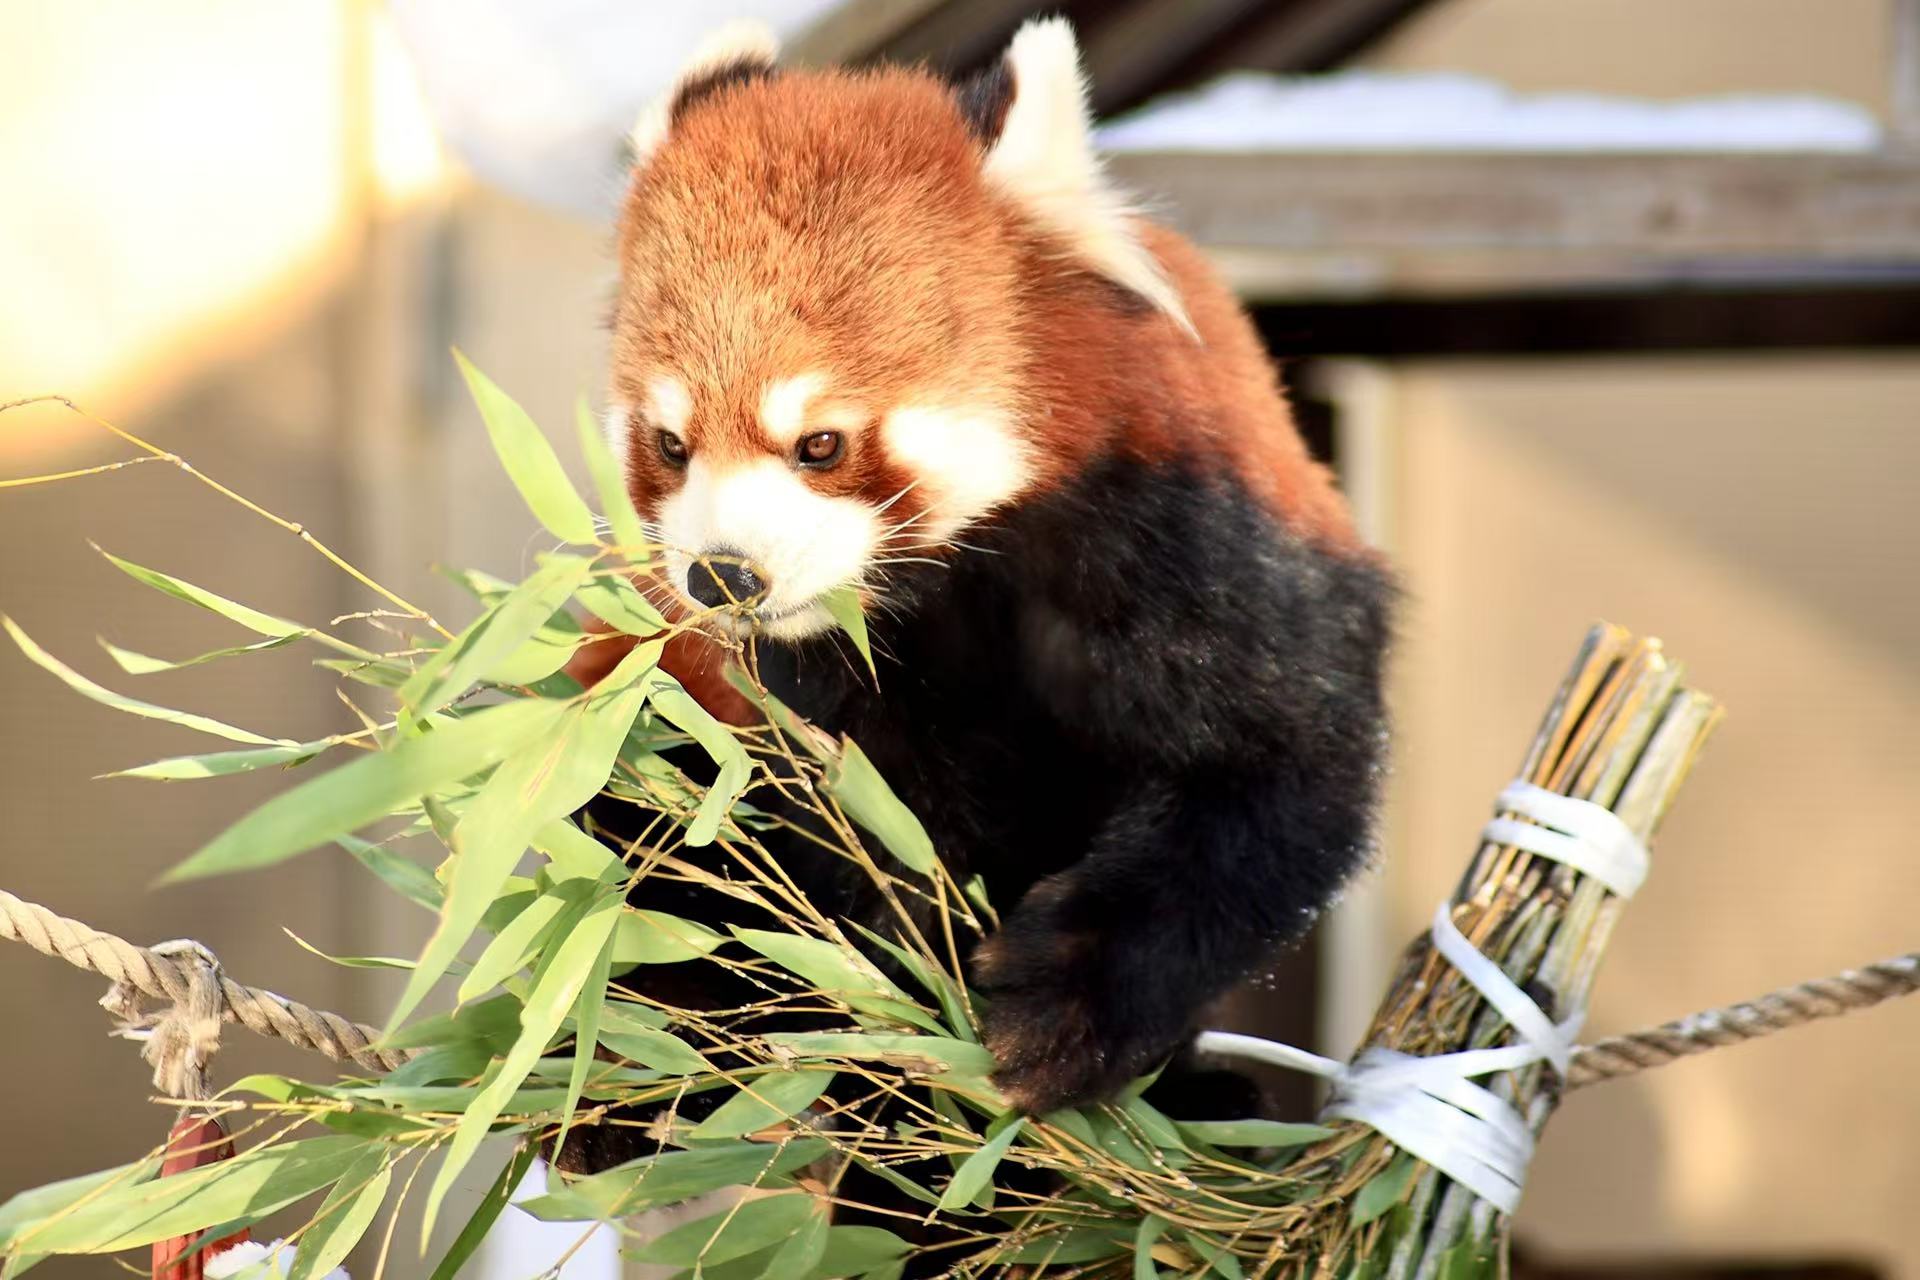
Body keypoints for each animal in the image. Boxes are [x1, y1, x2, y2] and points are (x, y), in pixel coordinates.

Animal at [560, 14, 1390, 1159]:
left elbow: (1271, 772)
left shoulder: (1187, 535)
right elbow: (890, 850)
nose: (722, 574)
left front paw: (1059, 1012)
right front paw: (917, 1059)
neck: (964, 573)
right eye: (672, 446)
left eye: (820, 443)